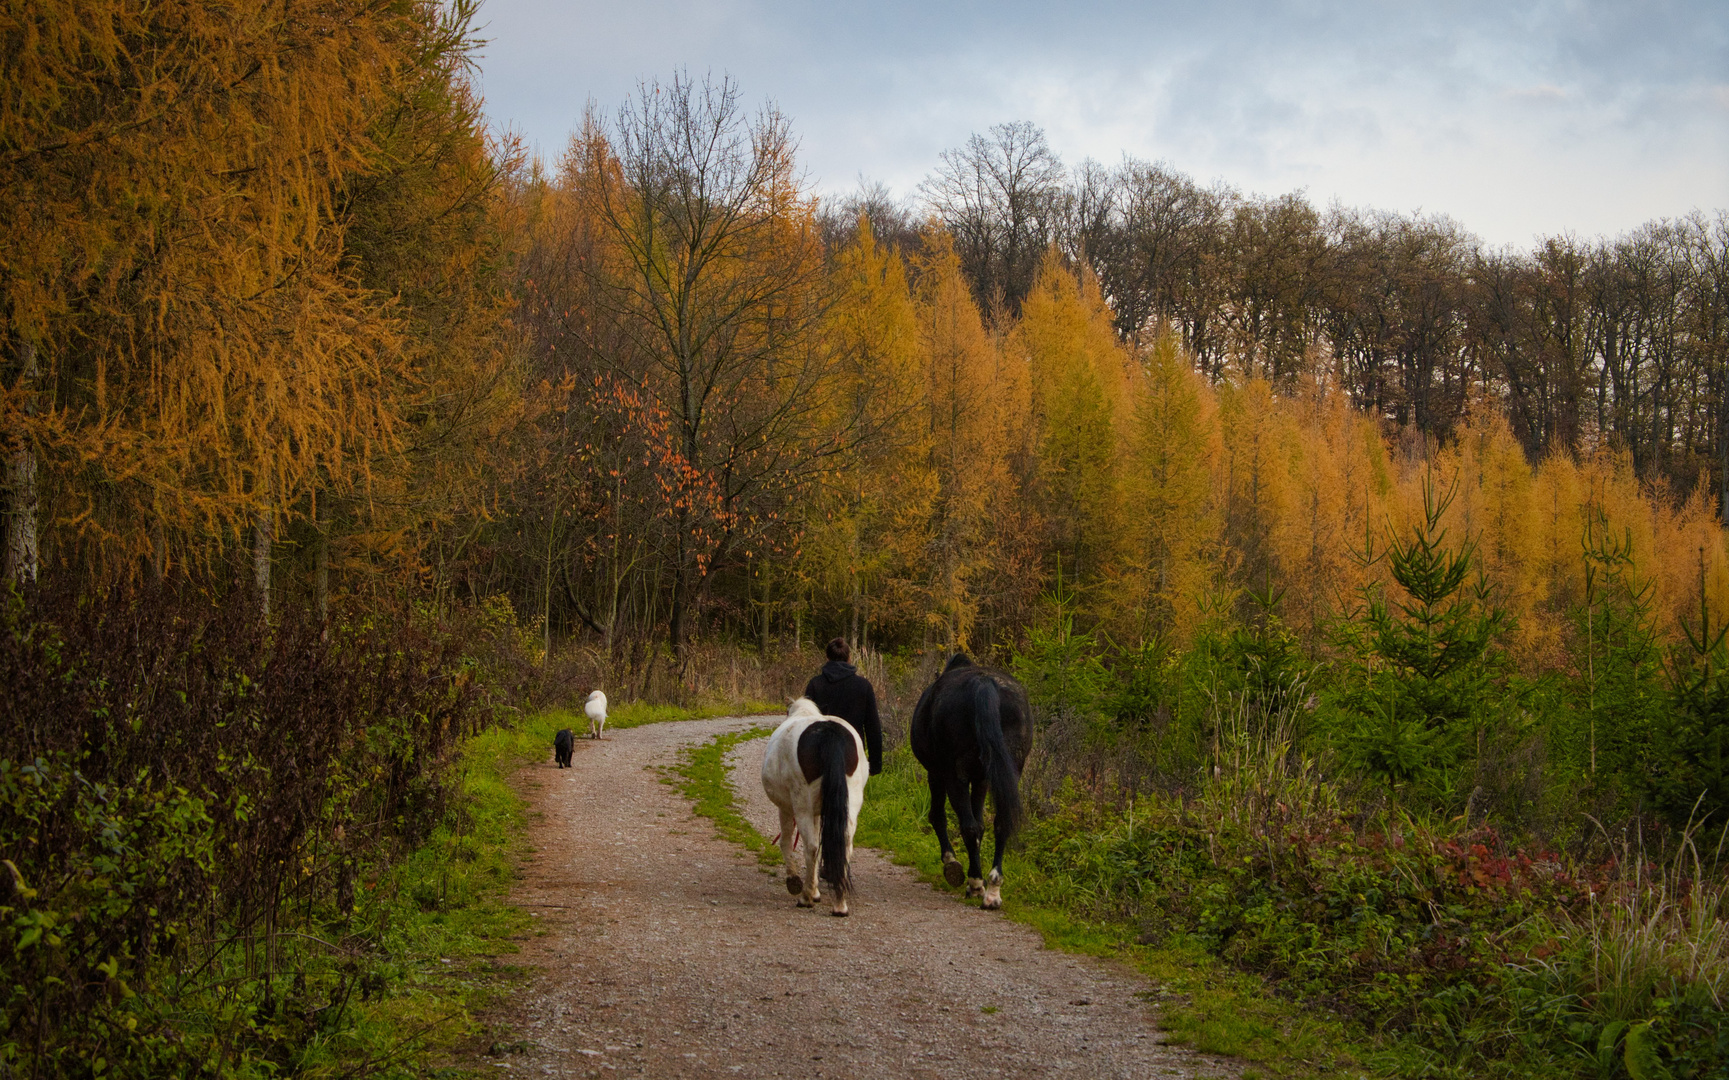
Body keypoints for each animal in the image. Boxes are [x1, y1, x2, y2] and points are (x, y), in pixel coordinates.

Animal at [912, 653, 1030, 905]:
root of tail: (985, 684)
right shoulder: (982, 780)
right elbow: (983, 824)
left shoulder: (936, 773)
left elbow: (938, 816)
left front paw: (952, 864)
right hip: (1009, 769)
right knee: (1001, 823)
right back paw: (993, 889)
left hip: (953, 775)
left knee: (968, 826)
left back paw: (975, 883)